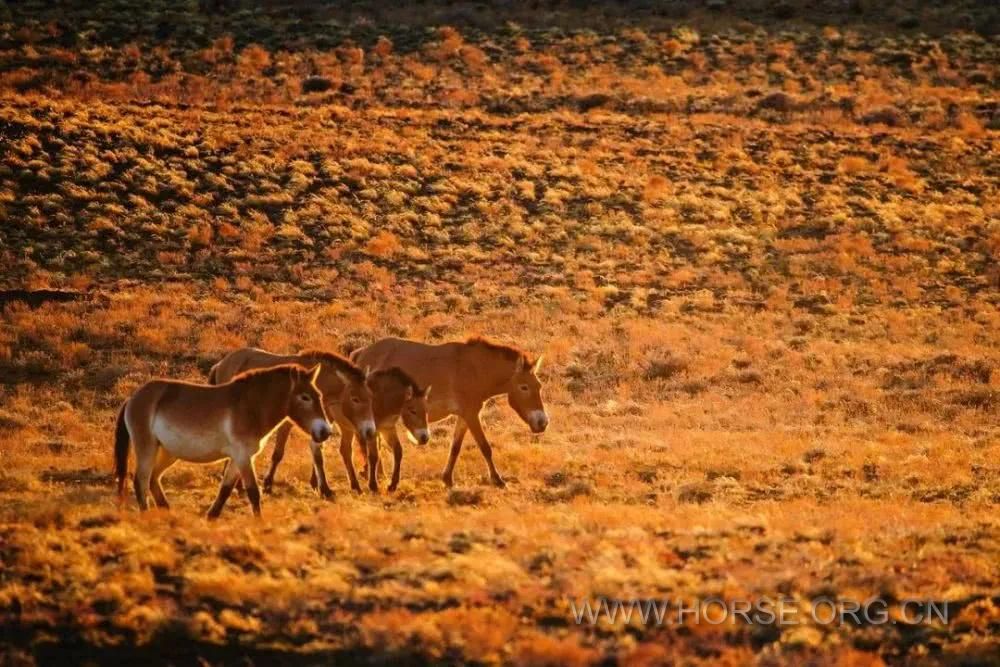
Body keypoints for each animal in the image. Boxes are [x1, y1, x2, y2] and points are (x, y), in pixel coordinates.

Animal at [113, 362, 332, 520]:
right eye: (305, 397)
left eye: (319, 395)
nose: (325, 432)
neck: (251, 407)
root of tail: (133, 398)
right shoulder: (243, 457)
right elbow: (253, 492)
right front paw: (260, 524)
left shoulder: (238, 458)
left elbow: (225, 490)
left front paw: (211, 517)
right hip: (147, 447)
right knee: (141, 481)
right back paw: (147, 517)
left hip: (168, 452)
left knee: (153, 479)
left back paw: (167, 512)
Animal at [352, 336, 552, 488]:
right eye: (524, 387)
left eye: (539, 386)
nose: (542, 423)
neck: (475, 370)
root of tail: (361, 352)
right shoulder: (471, 415)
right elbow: (485, 447)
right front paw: (498, 480)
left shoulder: (464, 416)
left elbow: (455, 447)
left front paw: (447, 479)